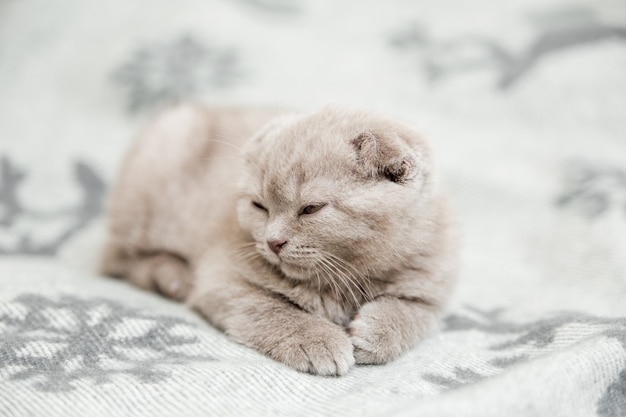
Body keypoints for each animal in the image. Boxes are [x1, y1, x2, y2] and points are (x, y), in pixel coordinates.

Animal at [100, 103, 456, 374]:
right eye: (259, 206)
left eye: (311, 208)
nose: (273, 242)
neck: (343, 276)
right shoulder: (223, 278)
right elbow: (271, 309)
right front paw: (318, 341)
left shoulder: (431, 281)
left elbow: (411, 312)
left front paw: (375, 335)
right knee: (117, 259)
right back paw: (171, 276)